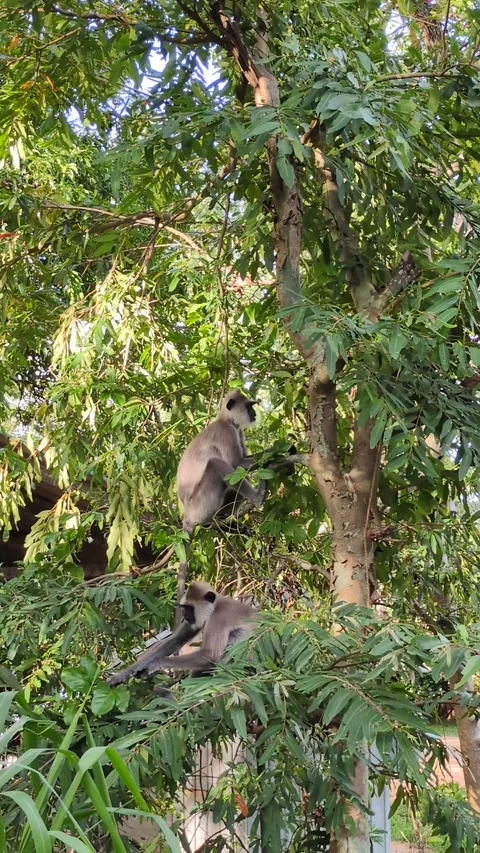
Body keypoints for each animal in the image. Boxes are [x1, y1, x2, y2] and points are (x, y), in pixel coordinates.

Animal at [107, 581, 258, 686]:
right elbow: (175, 640)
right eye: (184, 608)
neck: (216, 605)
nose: (185, 615)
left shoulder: (219, 617)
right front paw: (122, 675)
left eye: (189, 608)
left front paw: (156, 663)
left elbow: (210, 654)